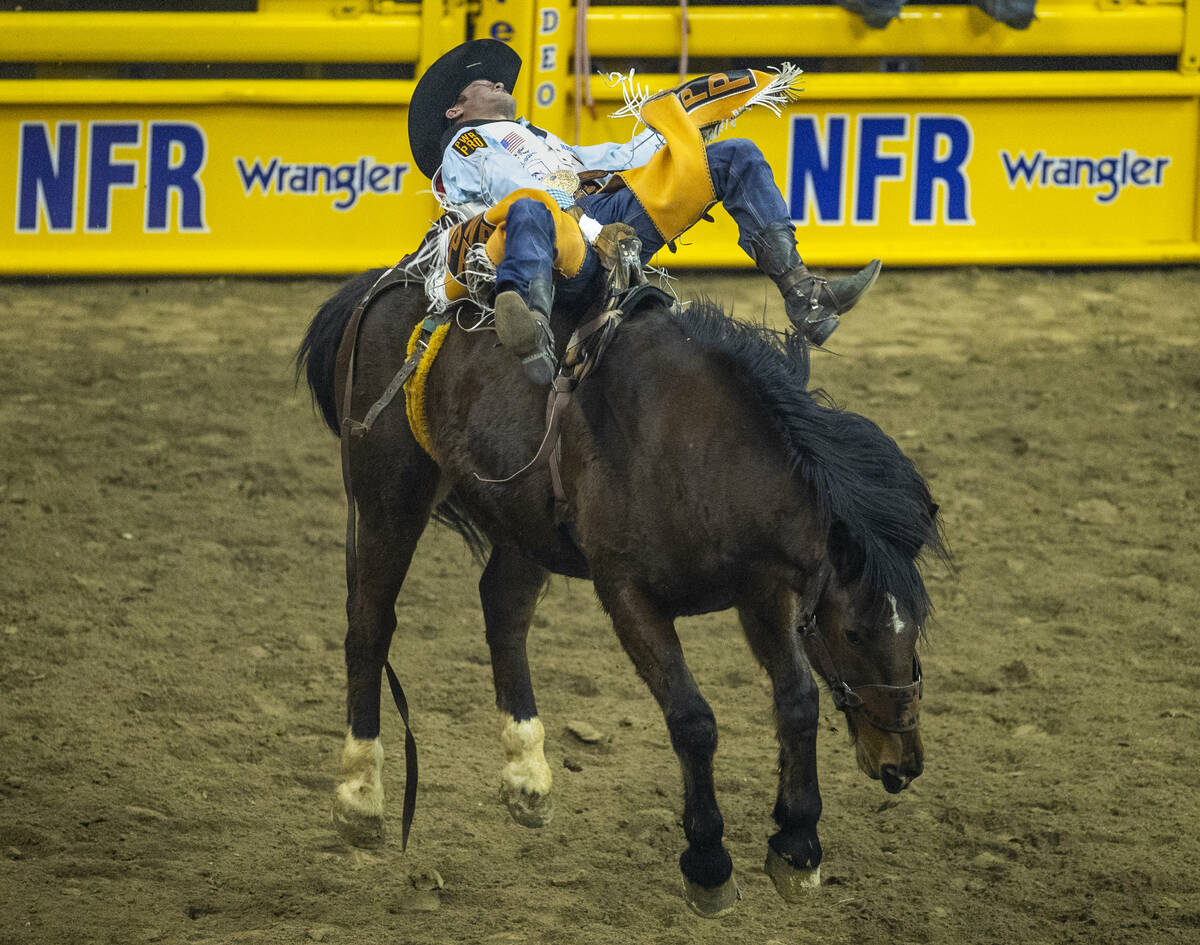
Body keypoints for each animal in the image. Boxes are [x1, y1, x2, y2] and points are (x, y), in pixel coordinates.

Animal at [295, 271, 940, 916]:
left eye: (917, 626)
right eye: (853, 631)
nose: (902, 765)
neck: (700, 454)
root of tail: (376, 291)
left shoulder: (762, 592)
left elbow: (799, 702)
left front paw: (798, 846)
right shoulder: (628, 594)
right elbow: (693, 719)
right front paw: (708, 862)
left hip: (526, 526)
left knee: (503, 607)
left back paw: (527, 775)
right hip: (389, 495)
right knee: (370, 621)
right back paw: (360, 795)